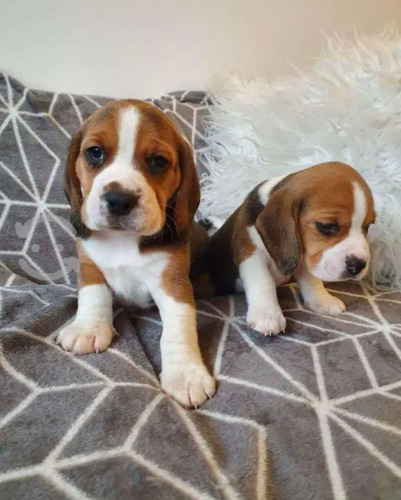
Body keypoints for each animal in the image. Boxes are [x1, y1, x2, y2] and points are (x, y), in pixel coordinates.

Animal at [56, 99, 216, 408]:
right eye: (95, 153)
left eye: (158, 161)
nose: (119, 199)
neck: (122, 240)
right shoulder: (89, 264)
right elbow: (93, 295)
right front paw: (88, 328)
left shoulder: (173, 282)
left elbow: (178, 328)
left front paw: (184, 374)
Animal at [208, 162, 374, 336]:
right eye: (327, 226)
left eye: (367, 227)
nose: (359, 265)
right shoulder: (251, 254)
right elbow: (262, 280)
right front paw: (267, 315)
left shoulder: (304, 255)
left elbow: (311, 280)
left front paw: (322, 300)